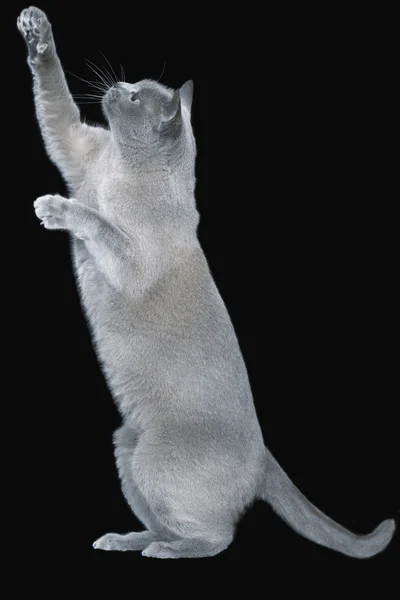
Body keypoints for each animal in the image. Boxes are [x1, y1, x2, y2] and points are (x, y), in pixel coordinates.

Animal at [18, 4, 394, 560]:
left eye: (135, 97)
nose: (115, 87)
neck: (120, 168)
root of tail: (264, 454)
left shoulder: (130, 259)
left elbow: (98, 222)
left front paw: (55, 208)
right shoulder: (74, 145)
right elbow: (54, 93)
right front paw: (36, 31)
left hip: (153, 461)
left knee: (219, 537)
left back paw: (165, 551)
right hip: (127, 446)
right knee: (170, 524)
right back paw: (125, 539)